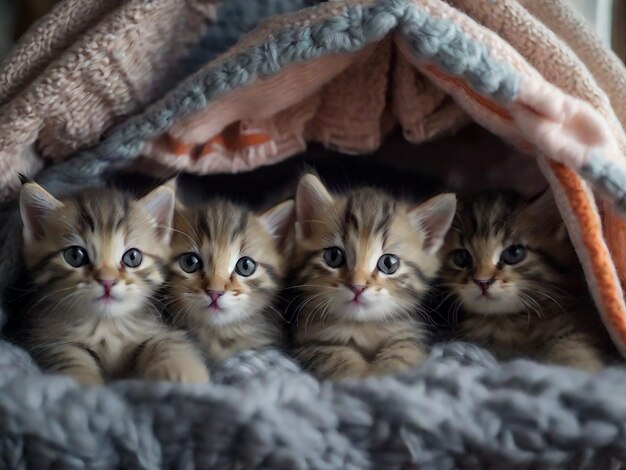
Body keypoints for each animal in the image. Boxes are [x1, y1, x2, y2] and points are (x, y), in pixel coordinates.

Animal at [18, 182, 208, 384]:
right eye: (75, 256)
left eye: (132, 257)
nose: (107, 281)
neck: (106, 326)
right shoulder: (49, 340)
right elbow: (69, 358)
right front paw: (82, 382)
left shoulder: (166, 328)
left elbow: (170, 344)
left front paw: (182, 375)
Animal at [288, 174, 454, 380]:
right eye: (333, 256)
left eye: (389, 263)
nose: (357, 287)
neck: (362, 326)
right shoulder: (309, 341)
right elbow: (335, 356)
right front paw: (360, 377)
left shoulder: (409, 331)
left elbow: (405, 350)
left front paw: (388, 374)